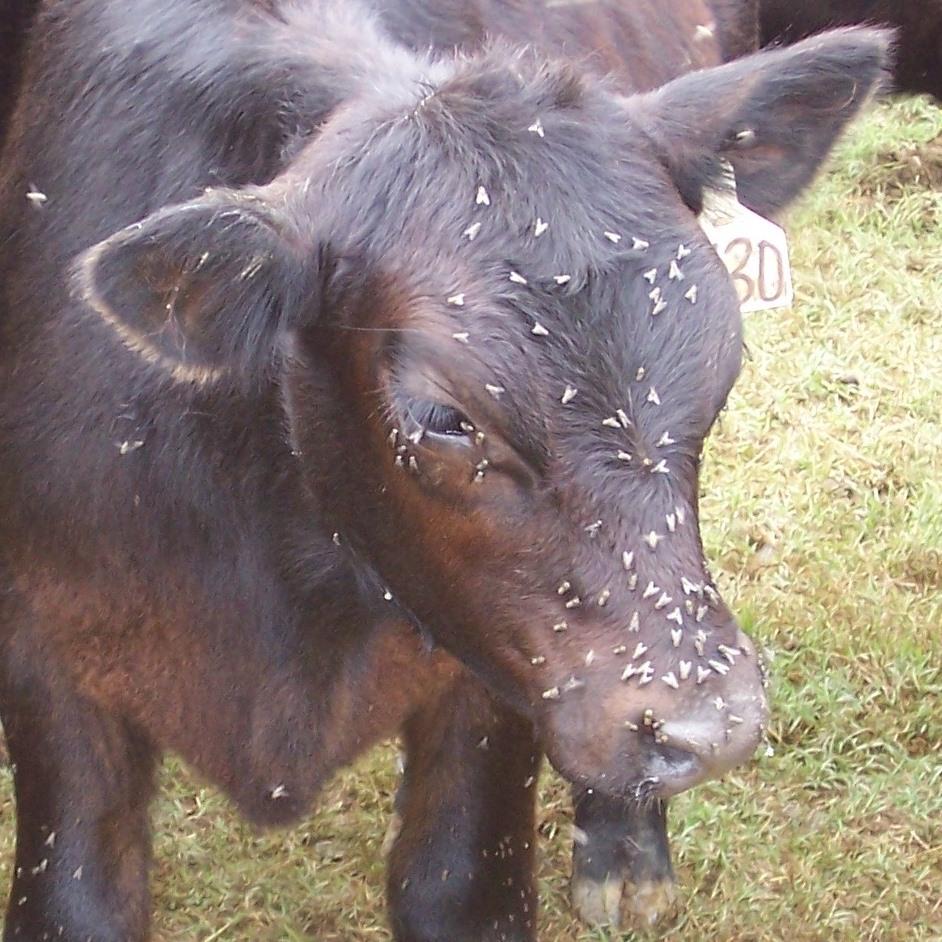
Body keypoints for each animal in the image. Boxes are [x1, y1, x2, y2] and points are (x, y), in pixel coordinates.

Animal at [0, 3, 888, 940]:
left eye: (723, 361)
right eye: (442, 417)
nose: (713, 727)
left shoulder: (495, 668)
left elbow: (458, 884)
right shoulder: (48, 635)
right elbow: (75, 898)